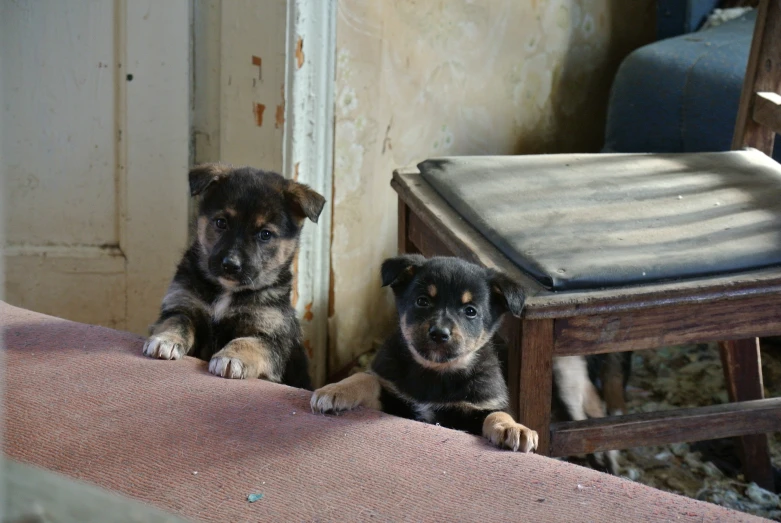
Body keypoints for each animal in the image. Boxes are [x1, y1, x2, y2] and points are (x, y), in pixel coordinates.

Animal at [143, 164, 322, 388]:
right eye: (221, 222)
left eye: (265, 234)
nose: (230, 265)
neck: (227, 291)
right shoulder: (181, 304)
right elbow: (178, 321)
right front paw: (165, 340)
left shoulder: (272, 337)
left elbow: (247, 341)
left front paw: (231, 358)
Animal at [310, 256, 536, 452]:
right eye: (422, 301)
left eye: (470, 311)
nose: (439, 333)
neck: (435, 373)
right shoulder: (394, 398)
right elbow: (365, 378)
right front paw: (335, 390)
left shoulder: (476, 408)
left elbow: (497, 413)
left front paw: (513, 428)